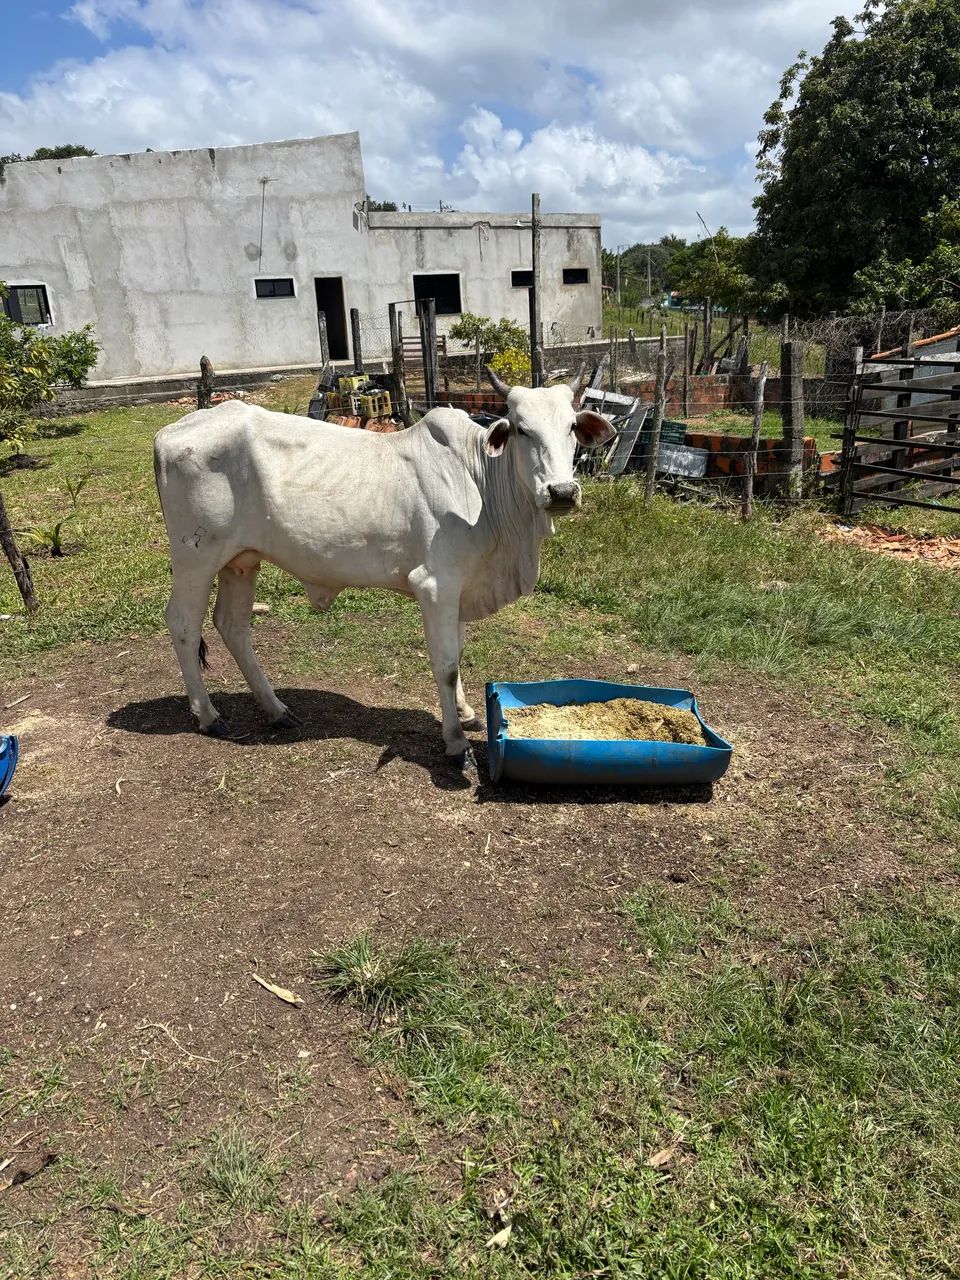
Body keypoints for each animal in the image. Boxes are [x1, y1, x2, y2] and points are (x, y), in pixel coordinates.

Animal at [153, 366, 614, 768]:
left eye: (571, 427)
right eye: (521, 428)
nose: (561, 491)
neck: (481, 484)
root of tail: (167, 433)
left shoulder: (460, 588)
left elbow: (459, 651)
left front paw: (466, 713)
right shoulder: (435, 585)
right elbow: (446, 664)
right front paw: (455, 743)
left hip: (240, 561)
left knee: (232, 625)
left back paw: (276, 709)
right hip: (196, 557)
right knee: (182, 623)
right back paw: (208, 715)